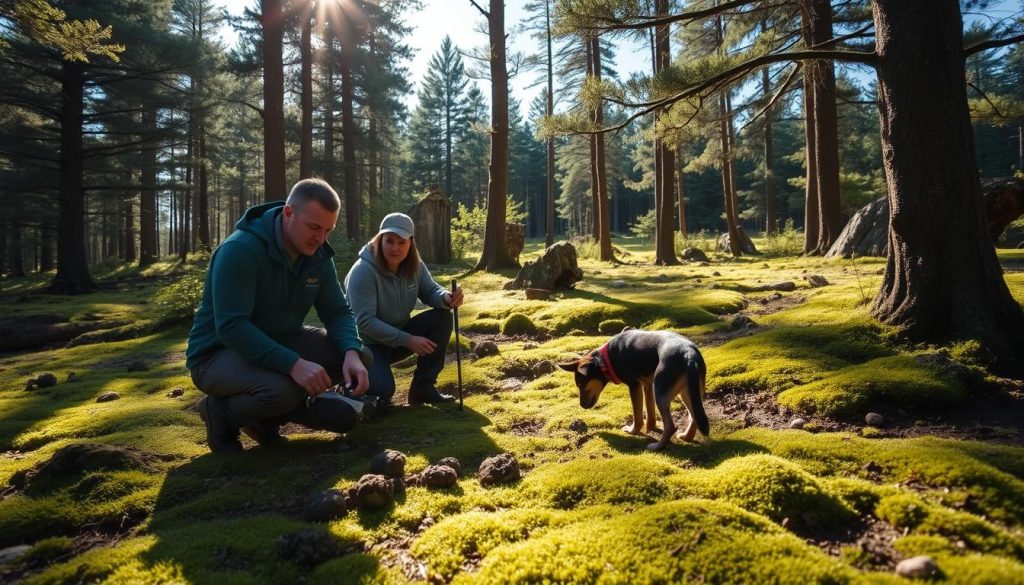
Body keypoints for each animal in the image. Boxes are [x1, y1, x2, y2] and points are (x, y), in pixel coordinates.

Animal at [561, 331, 704, 450]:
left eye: (581, 385)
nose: (582, 405)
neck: (605, 359)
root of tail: (688, 354)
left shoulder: (635, 386)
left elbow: (637, 415)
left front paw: (633, 431)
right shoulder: (647, 385)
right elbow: (650, 411)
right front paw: (650, 427)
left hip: (661, 393)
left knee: (670, 426)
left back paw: (658, 446)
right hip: (688, 393)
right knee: (695, 416)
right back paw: (686, 437)